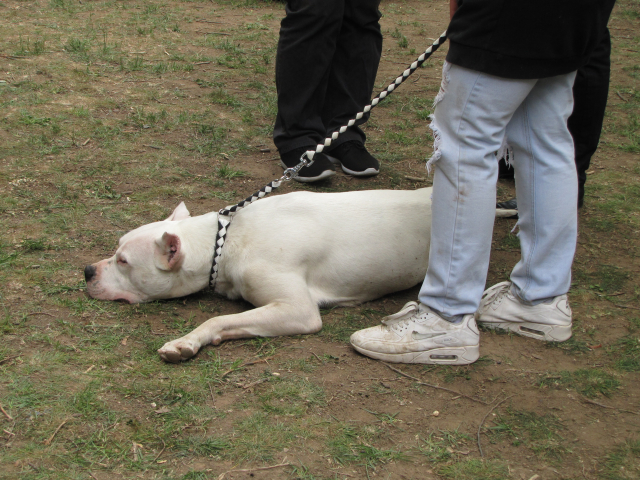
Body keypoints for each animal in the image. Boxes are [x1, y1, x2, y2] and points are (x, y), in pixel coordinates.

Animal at [85, 189, 432, 362]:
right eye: (116, 250)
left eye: (123, 261)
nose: (87, 270)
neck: (224, 242)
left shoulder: (298, 310)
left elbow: (216, 319)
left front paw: (186, 342)